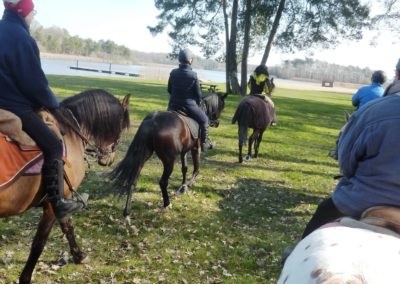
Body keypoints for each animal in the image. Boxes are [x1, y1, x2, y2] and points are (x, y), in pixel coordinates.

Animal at [0, 89, 130, 284]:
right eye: (121, 128)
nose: (109, 159)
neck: (71, 132)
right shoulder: (53, 205)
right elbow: (39, 243)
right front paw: (26, 277)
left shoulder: (63, 200)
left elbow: (68, 228)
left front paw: (79, 255)